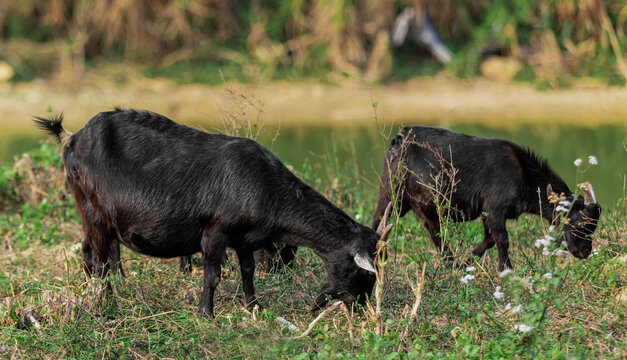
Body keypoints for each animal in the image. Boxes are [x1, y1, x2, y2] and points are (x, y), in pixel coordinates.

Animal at [35, 108, 392, 316]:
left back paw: (94, 292)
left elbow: (248, 270)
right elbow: (213, 275)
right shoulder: (215, 231)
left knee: (88, 251)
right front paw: (206, 313)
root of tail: (72, 137)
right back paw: (107, 301)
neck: (264, 186)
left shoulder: (246, 238)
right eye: (363, 273)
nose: (361, 310)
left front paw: (253, 306)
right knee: (98, 257)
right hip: (93, 209)